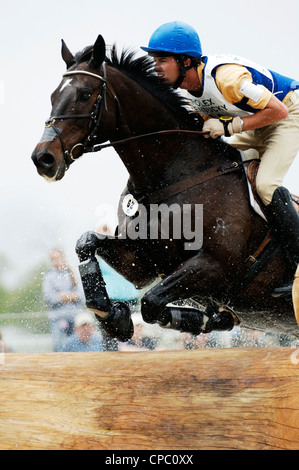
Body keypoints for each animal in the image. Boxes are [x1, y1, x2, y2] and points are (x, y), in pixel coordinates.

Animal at [31, 35, 298, 340]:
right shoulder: (143, 263)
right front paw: (112, 317)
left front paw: (212, 319)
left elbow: (150, 303)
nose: (43, 158)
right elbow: (87, 242)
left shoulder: (215, 265)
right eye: (53, 96)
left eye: (85, 94)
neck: (171, 176)